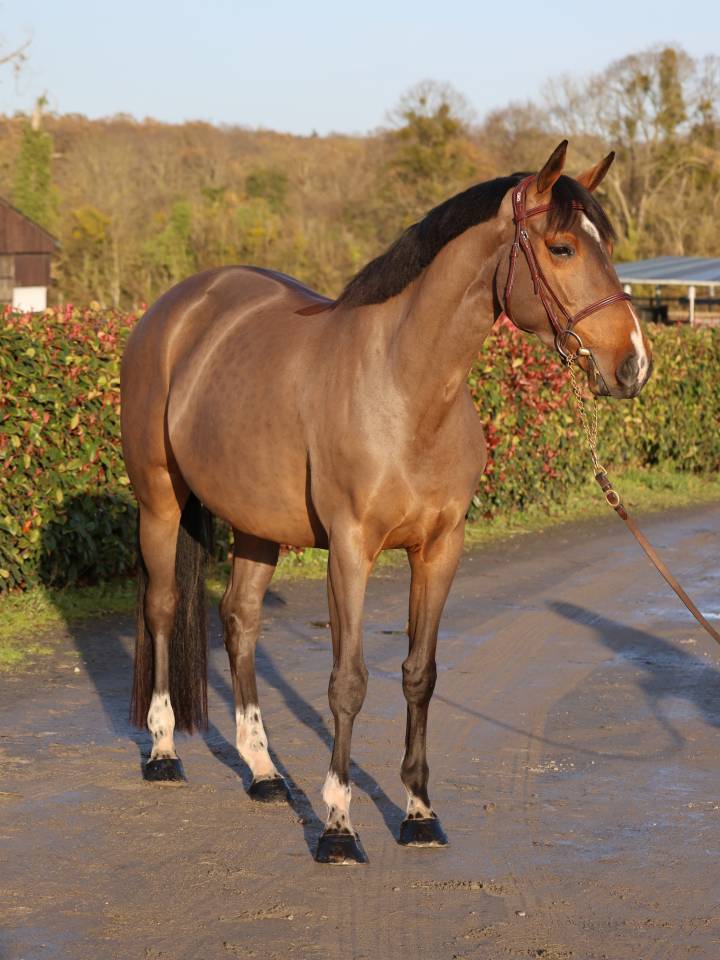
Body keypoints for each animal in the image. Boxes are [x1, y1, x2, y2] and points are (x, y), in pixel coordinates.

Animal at [120, 140, 652, 864]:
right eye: (563, 246)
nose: (634, 364)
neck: (405, 387)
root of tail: (176, 308)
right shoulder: (350, 550)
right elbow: (348, 681)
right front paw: (339, 827)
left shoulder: (439, 549)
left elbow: (419, 675)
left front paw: (420, 814)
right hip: (160, 501)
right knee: (163, 607)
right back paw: (163, 751)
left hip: (258, 524)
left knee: (239, 621)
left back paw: (263, 771)